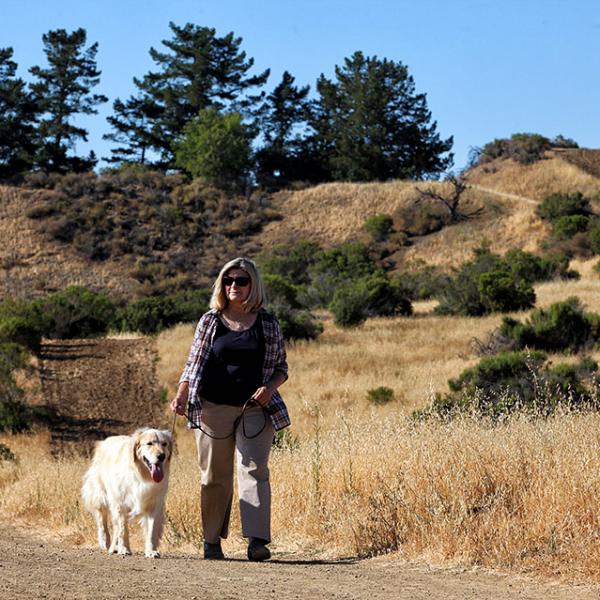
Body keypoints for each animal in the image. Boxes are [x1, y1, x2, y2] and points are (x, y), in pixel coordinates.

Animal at [81, 426, 173, 556]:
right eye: (149, 443)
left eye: (164, 444)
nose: (161, 456)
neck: (141, 476)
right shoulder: (120, 503)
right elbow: (123, 529)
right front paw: (124, 549)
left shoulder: (154, 504)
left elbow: (151, 530)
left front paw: (151, 551)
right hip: (100, 496)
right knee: (102, 520)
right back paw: (106, 541)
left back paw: (114, 547)